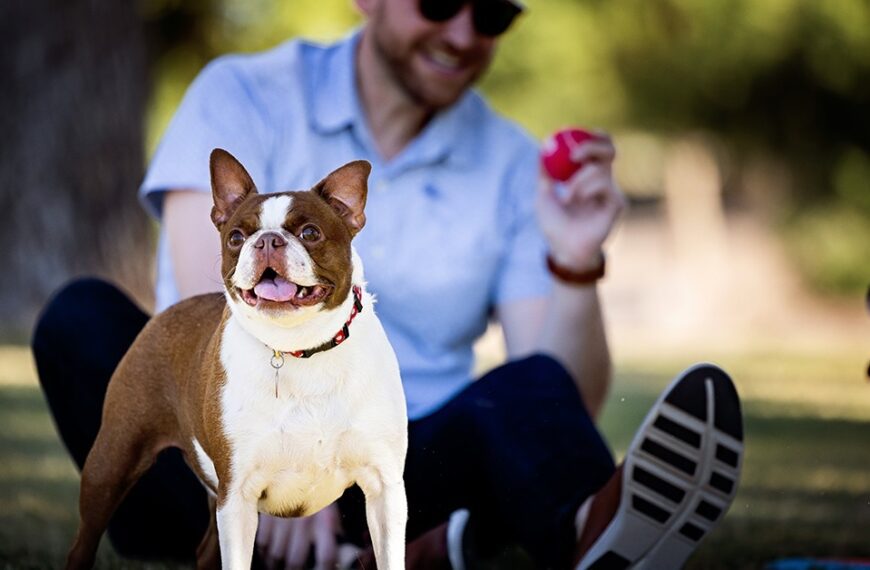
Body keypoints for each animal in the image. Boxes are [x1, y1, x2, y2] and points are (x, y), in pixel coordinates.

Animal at [64, 150, 412, 568]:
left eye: (310, 233)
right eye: (236, 237)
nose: (267, 241)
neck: (299, 347)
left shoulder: (384, 490)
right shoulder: (237, 495)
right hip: (112, 460)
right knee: (83, 541)